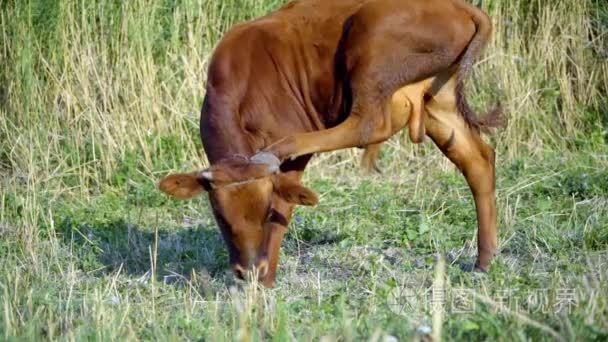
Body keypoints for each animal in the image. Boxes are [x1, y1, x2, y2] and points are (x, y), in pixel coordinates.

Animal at [159, 0, 502, 288]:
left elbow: (285, 205)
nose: (250, 271)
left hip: (371, 48)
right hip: (438, 102)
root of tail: (459, 6)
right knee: (477, 159)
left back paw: (284, 146)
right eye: (219, 215)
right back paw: (484, 260)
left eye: (265, 211)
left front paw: (267, 280)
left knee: (368, 124)